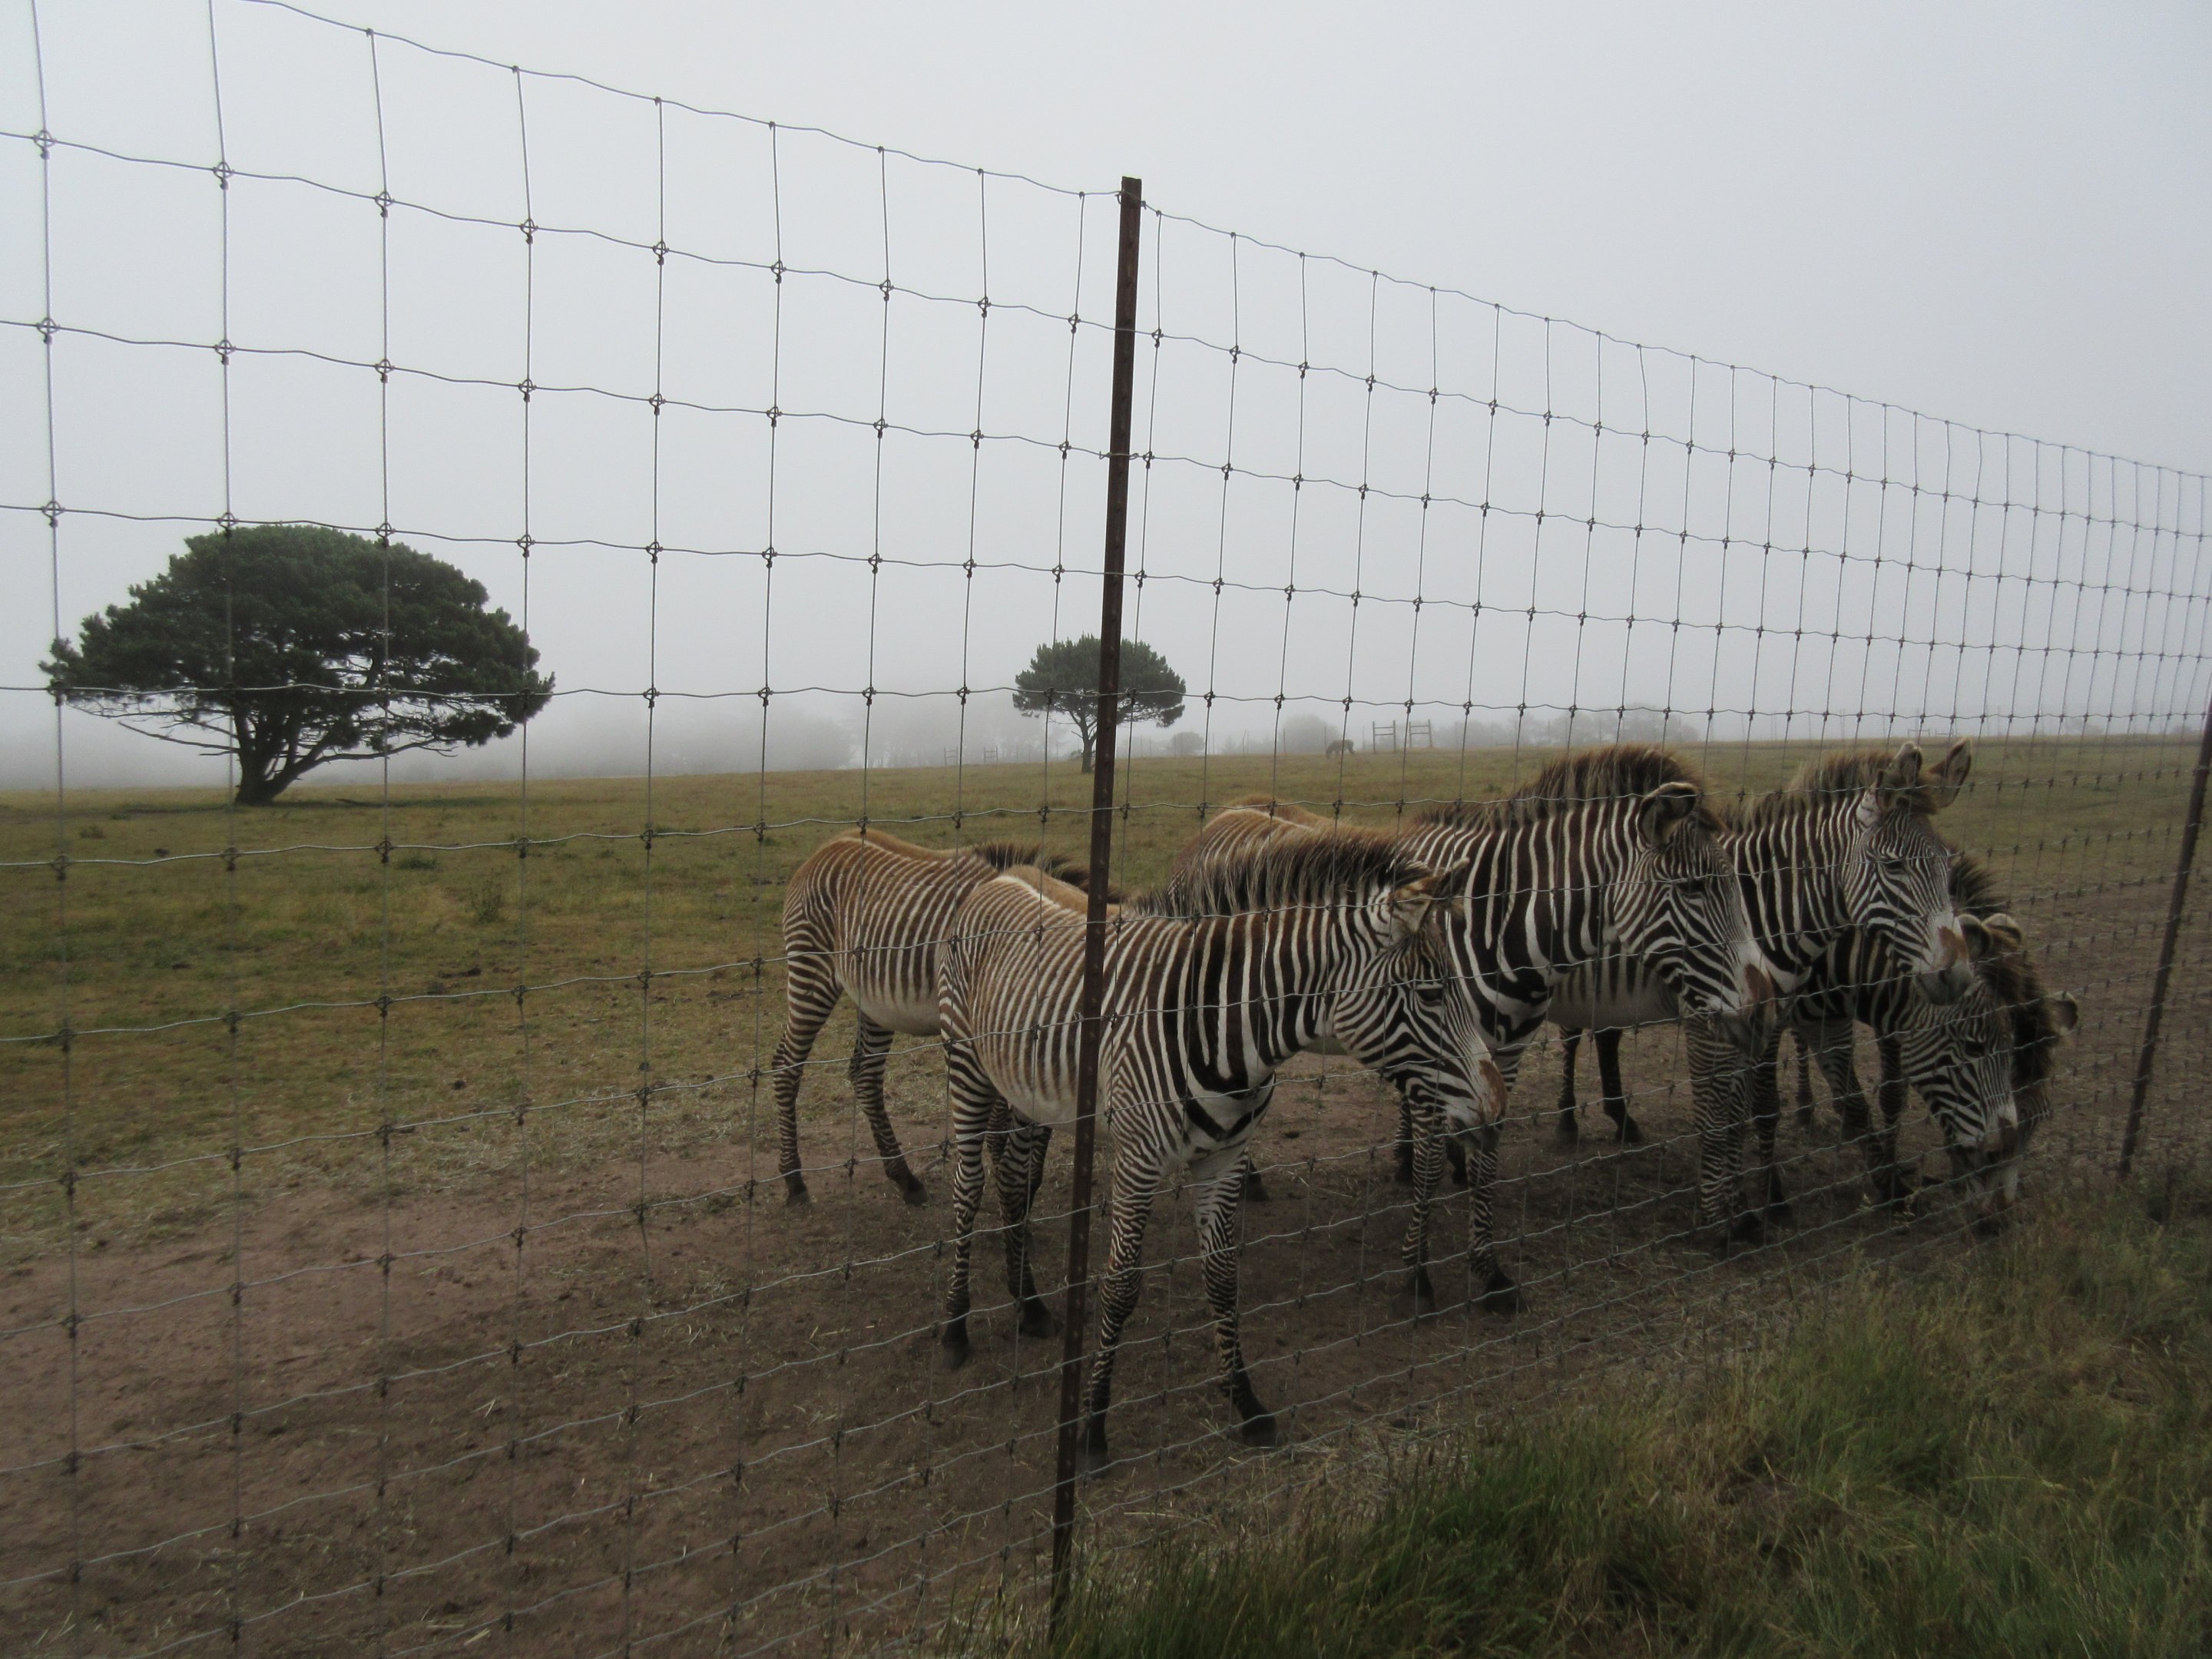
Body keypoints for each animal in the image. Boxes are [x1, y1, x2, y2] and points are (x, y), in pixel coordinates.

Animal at [770, 829, 1103, 1205]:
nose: (1031, 1195)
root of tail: (833, 842)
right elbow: (999, 1121)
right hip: (811, 971)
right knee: (786, 1065)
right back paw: (794, 1180)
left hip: (873, 1000)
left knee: (865, 1075)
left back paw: (905, 1178)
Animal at [932, 833, 1501, 1467]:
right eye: (1431, 993)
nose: (1497, 1104)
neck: (1221, 1025)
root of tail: (1001, 877)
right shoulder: (1138, 1159)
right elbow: (1122, 1285)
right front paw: (1094, 1427)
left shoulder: (1228, 1155)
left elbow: (1224, 1277)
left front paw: (1246, 1403)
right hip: (967, 1062)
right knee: (968, 1187)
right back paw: (955, 1327)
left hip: (1029, 1089)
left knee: (1011, 1178)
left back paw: (1028, 1304)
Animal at [1169, 744, 1777, 1294]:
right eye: (1694, 888)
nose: (1763, 1006)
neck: (1503, 925)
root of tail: (1225, 816)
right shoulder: (1434, 1056)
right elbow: (1431, 1166)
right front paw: (1417, 1271)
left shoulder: (1499, 1059)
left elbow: (1489, 1157)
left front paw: (1487, 1268)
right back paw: (1250, 1178)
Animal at [1548, 743, 1976, 1237]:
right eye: (1894, 865)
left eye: (1947, 863)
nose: (1958, 975)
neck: (1768, 909)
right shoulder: (1719, 1022)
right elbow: (1744, 1110)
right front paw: (1756, 1205)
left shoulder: (1772, 1017)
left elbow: (1747, 1112)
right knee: (1572, 1037)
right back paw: (1567, 1122)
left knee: (1602, 1035)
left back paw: (1621, 1121)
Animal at [1770, 851, 2079, 1227]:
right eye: (1974, 1048)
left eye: (2039, 1120)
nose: (1997, 1221)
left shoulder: (1888, 1011)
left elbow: (1892, 1093)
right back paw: (1804, 1109)